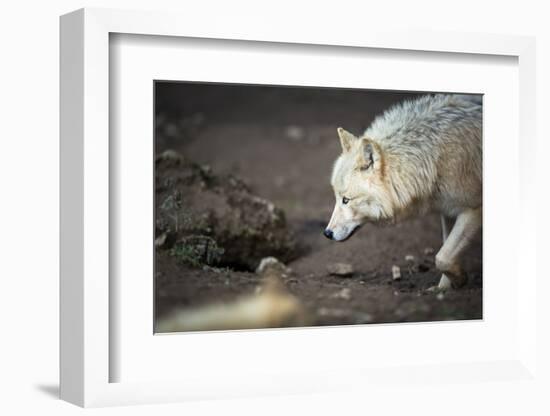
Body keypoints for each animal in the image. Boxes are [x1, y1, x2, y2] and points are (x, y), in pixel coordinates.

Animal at [326, 94, 486, 290]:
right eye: (337, 197)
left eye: (346, 200)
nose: (327, 233)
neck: (434, 160)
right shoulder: (447, 211)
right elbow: (446, 252)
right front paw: (444, 289)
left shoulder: (474, 209)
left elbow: (442, 257)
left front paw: (460, 280)